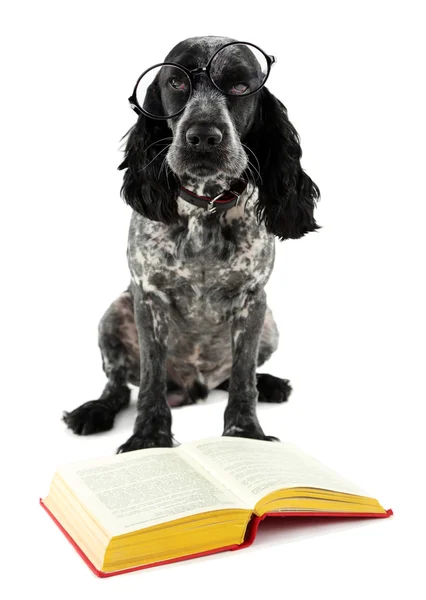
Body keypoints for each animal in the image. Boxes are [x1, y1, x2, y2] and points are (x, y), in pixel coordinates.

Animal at [61, 36, 318, 450]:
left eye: (240, 85)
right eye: (176, 83)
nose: (203, 136)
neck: (205, 210)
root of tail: (194, 387)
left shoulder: (252, 300)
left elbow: (243, 378)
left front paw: (245, 434)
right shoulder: (148, 297)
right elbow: (150, 379)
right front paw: (149, 437)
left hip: (270, 324)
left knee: (232, 377)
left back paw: (269, 383)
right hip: (114, 313)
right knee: (117, 386)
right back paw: (94, 411)